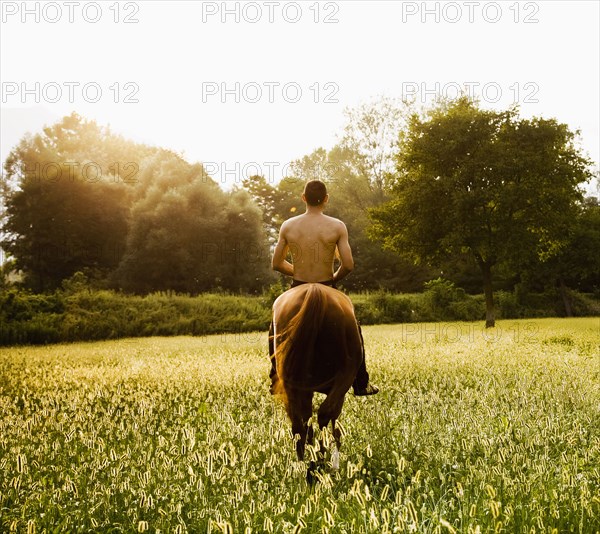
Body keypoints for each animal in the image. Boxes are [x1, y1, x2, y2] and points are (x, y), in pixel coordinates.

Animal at [270, 282, 360, 480]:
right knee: (324, 416)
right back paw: (319, 461)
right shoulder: (340, 387)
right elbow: (334, 425)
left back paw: (306, 467)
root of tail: (314, 290)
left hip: (292, 383)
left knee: (299, 423)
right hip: (344, 375)